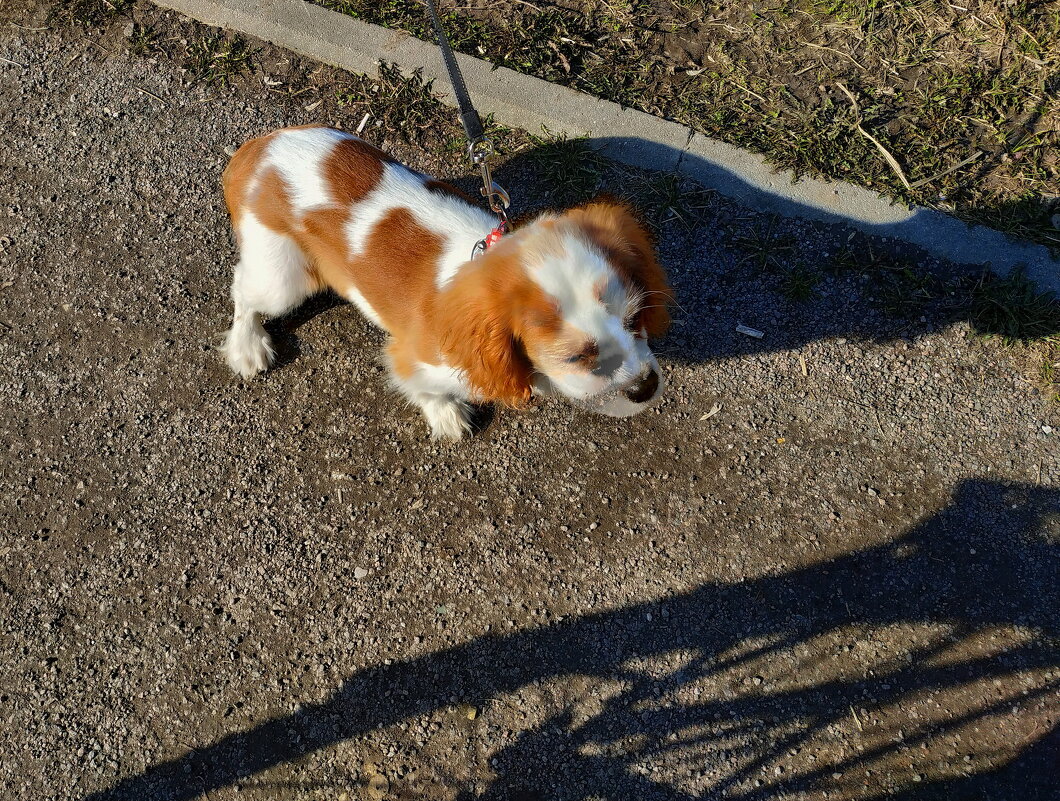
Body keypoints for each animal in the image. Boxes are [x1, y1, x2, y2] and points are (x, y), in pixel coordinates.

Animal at [221, 125, 669, 438]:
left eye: (635, 320)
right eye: (576, 358)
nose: (646, 387)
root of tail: (256, 150)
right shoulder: (413, 356)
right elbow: (420, 384)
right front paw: (445, 413)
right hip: (284, 279)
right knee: (243, 290)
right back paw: (247, 346)